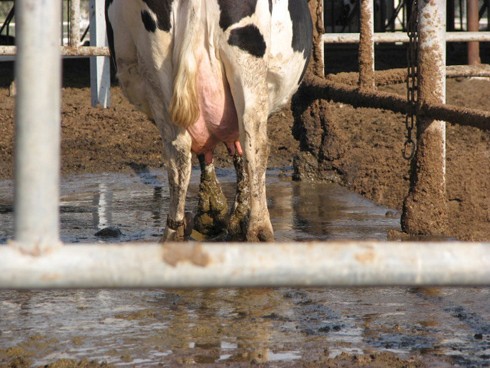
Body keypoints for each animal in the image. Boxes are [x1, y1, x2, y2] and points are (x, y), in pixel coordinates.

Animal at [106, 0, 314, 242]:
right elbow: (237, 152)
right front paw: (234, 215)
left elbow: (209, 151)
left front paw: (211, 210)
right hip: (247, 66)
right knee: (254, 142)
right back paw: (259, 229)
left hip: (155, 65)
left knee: (178, 154)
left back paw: (173, 231)